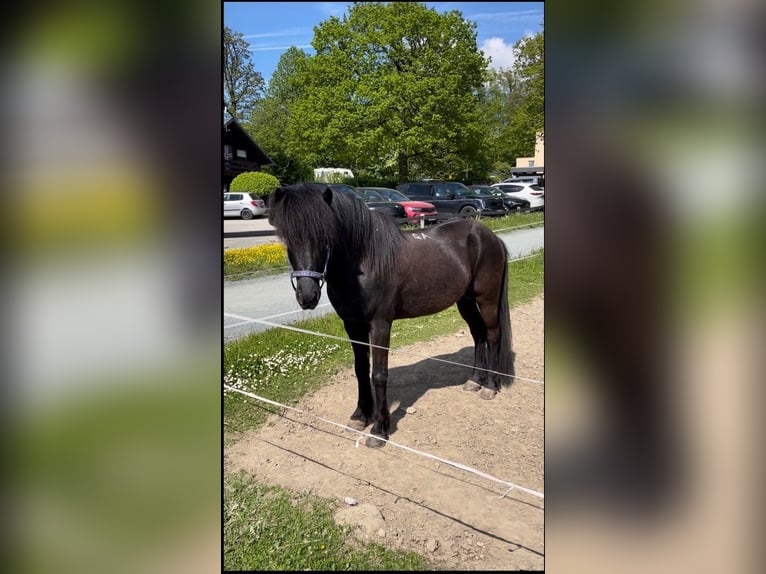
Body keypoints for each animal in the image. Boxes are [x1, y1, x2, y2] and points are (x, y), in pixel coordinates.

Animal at [268, 183, 515, 448]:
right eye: (287, 238)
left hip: (486, 299)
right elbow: (360, 369)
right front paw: (360, 416)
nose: (307, 296)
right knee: (478, 334)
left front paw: (379, 430)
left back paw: (490, 386)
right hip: (465, 301)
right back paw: (475, 381)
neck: (365, 261)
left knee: (492, 335)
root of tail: (489, 235)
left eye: (326, 236)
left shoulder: (380, 324)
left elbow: (378, 374)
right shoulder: (352, 324)